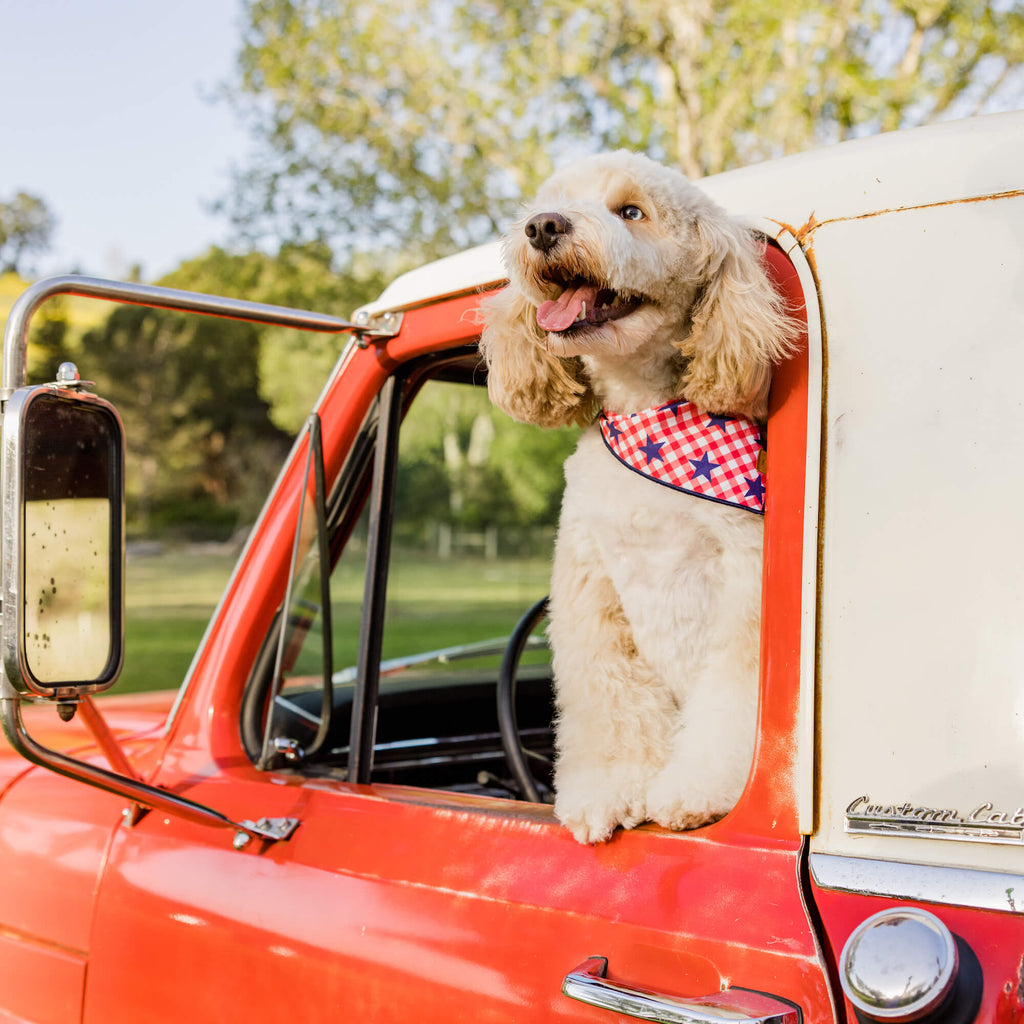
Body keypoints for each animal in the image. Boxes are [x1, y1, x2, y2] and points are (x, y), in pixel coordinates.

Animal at [475, 149, 794, 839]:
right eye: (553, 201)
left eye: (631, 211)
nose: (543, 226)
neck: (648, 414)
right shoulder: (592, 591)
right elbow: (607, 699)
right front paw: (608, 790)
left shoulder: (745, 591)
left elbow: (730, 700)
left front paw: (698, 789)